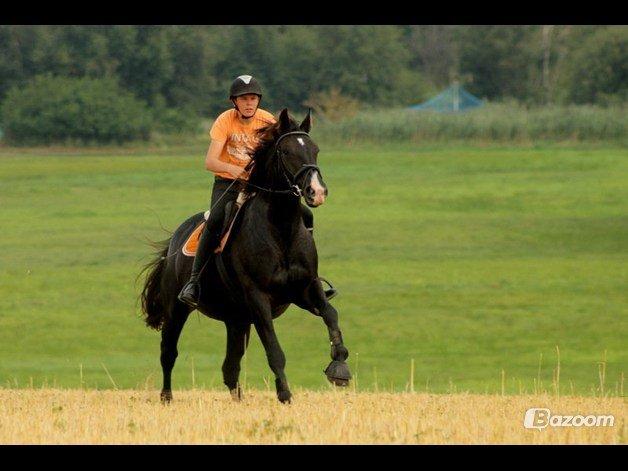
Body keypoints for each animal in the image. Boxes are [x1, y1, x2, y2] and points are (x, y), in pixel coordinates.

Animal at [138, 109, 350, 404]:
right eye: (286, 151)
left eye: (315, 149)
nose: (316, 192)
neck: (281, 230)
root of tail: (173, 244)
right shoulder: (259, 298)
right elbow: (274, 350)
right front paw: (285, 395)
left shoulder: (306, 289)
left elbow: (331, 314)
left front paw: (339, 366)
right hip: (176, 309)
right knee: (168, 353)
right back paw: (167, 397)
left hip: (236, 320)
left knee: (230, 366)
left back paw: (238, 400)